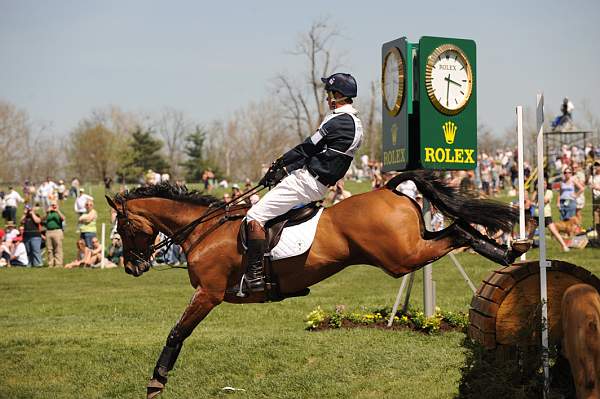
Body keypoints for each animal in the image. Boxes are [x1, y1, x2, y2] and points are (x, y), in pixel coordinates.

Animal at [105, 170, 528, 398]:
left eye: (122, 227)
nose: (131, 267)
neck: (203, 230)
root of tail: (389, 188)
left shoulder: (207, 294)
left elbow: (177, 334)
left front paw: (156, 383)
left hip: (401, 257)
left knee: (456, 231)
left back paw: (507, 252)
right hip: (411, 247)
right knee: (456, 229)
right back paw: (507, 249)